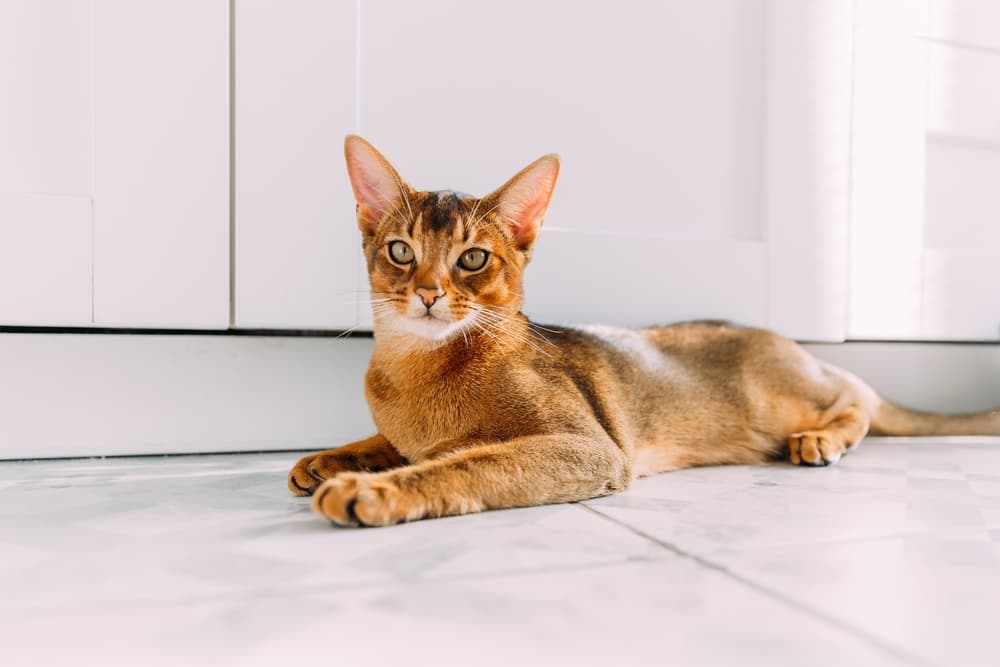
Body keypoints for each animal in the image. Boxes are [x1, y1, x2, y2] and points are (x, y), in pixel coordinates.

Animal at [288, 136, 1000, 528]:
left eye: (473, 259)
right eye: (401, 251)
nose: (430, 294)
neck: (416, 370)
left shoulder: (586, 448)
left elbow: (464, 463)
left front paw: (369, 488)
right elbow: (394, 442)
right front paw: (334, 456)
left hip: (785, 395)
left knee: (860, 398)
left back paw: (821, 439)